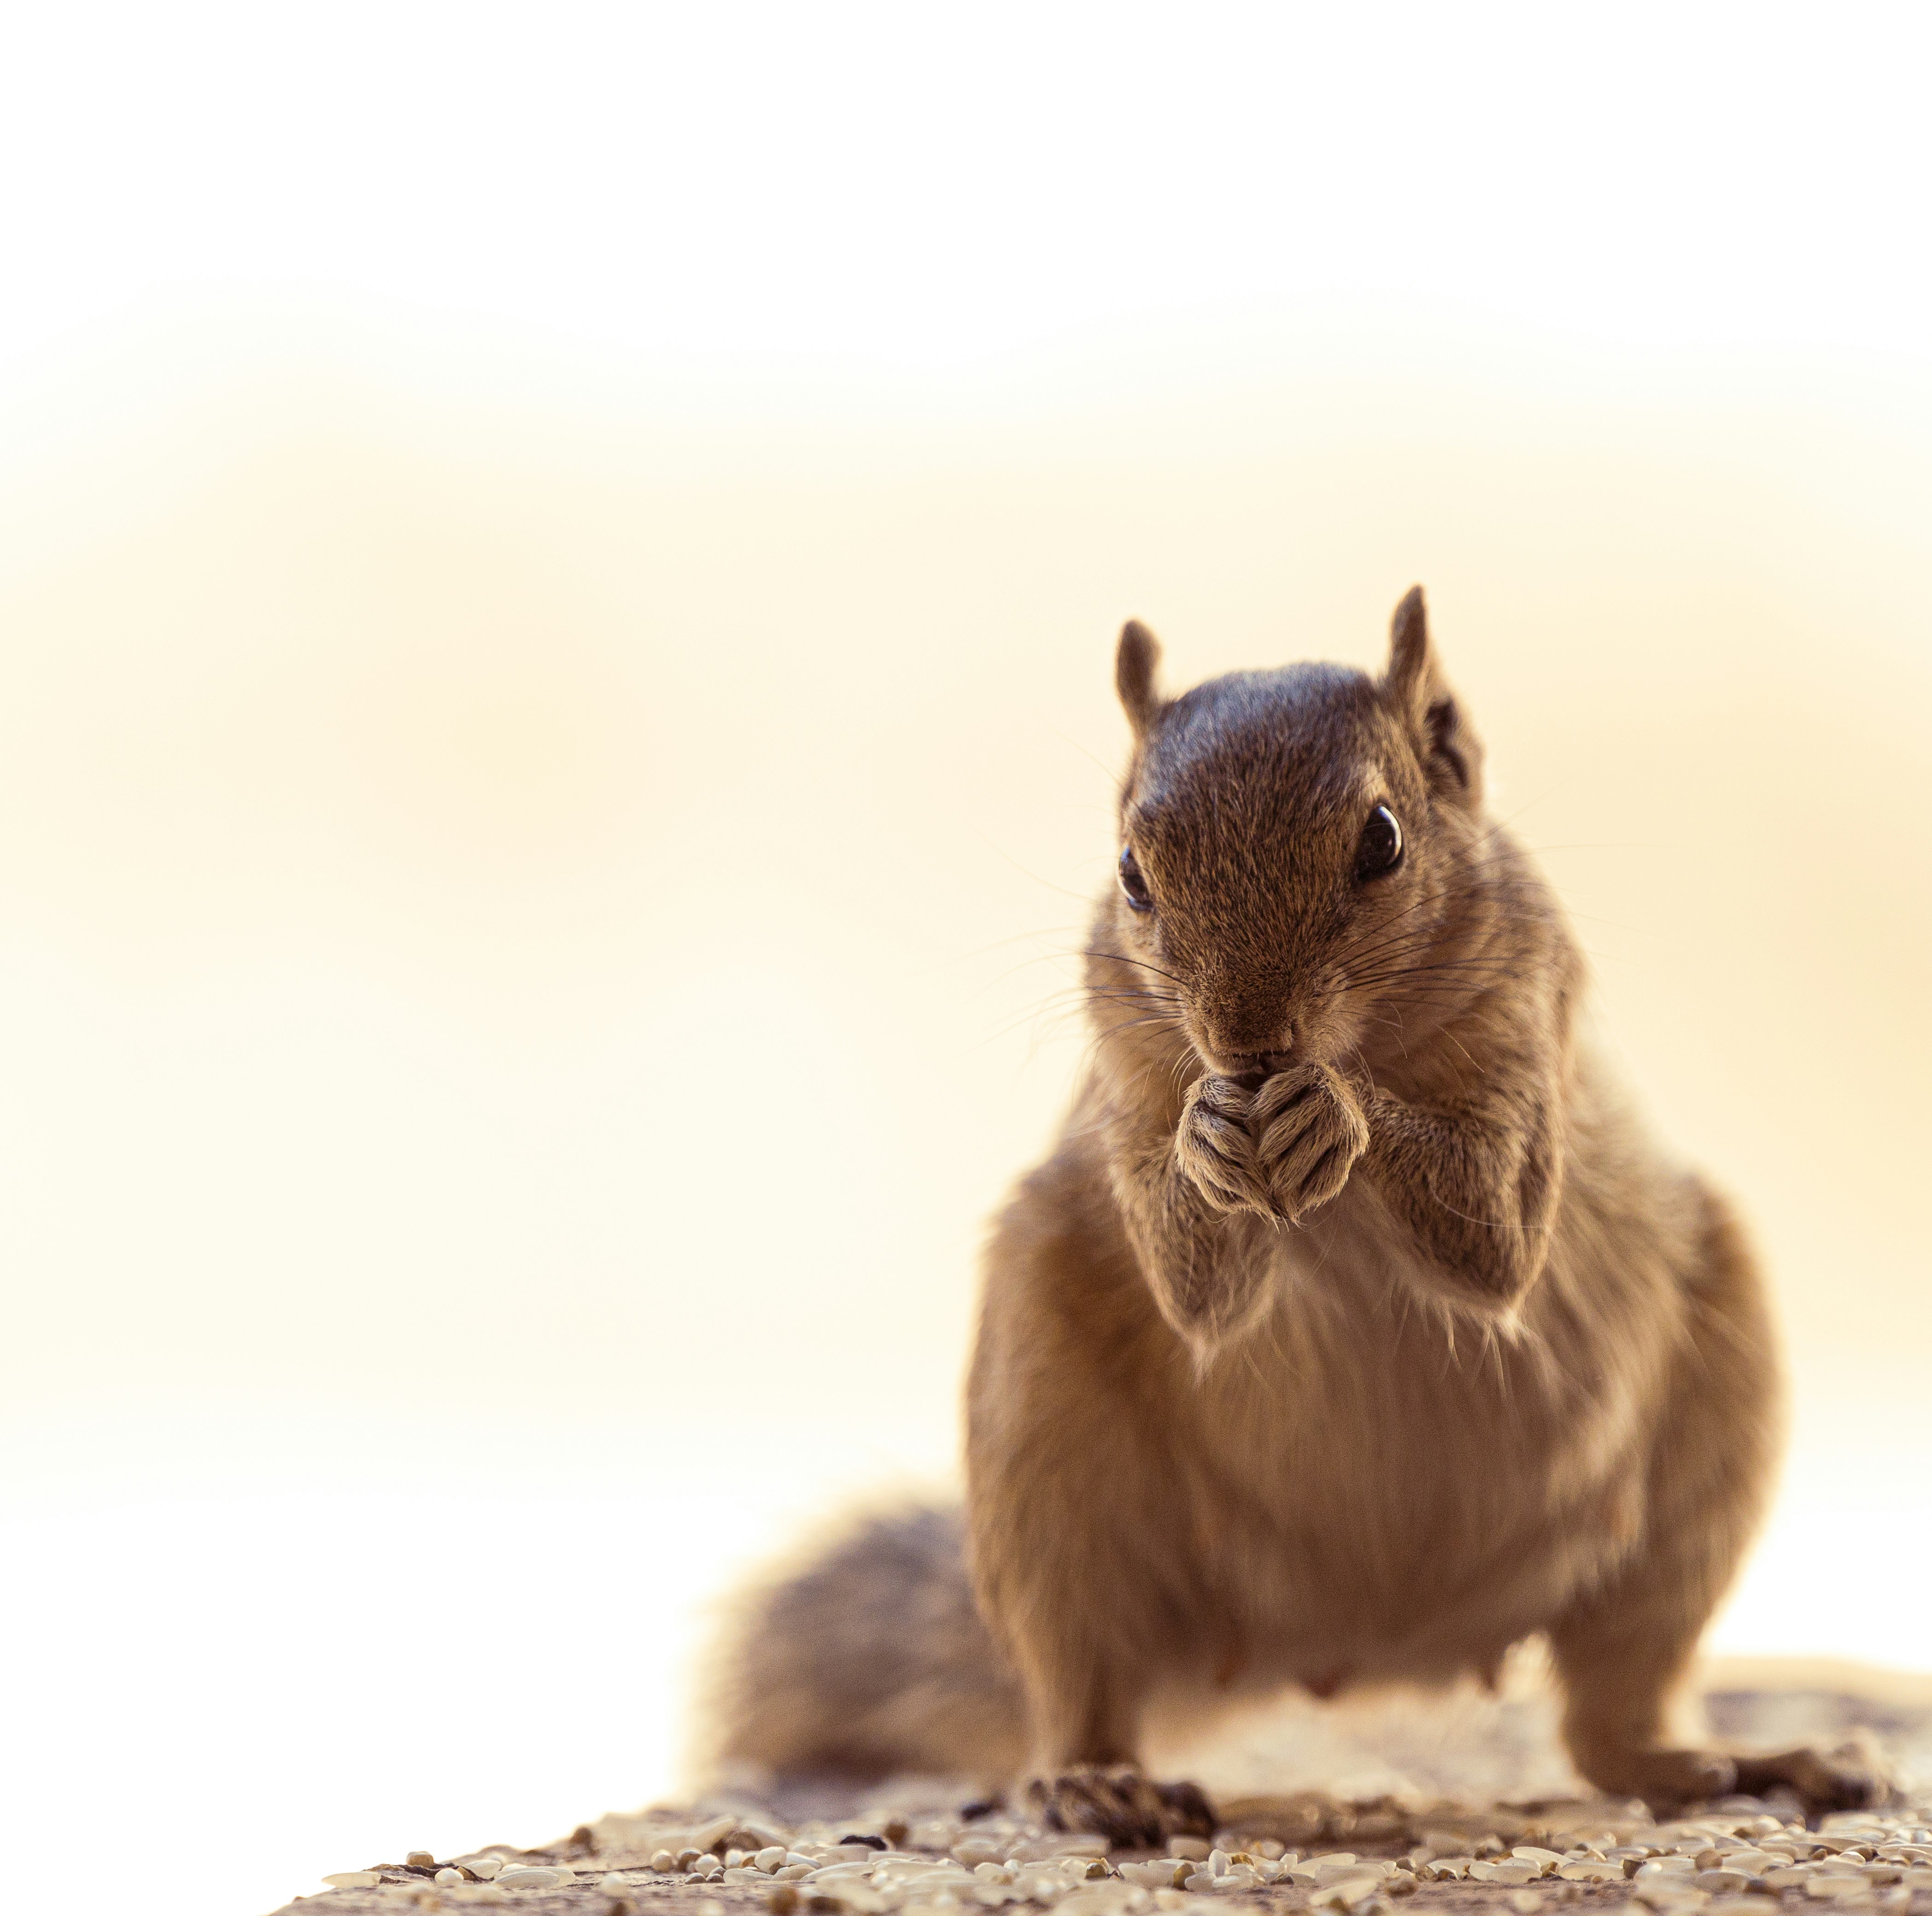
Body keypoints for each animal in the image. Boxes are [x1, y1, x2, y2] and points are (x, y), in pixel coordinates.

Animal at [707, 587, 1870, 1839]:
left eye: (1384, 839)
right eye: (1131, 870)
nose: (1250, 1044)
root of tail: (1355, 1638)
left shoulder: (1531, 1002)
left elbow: (1496, 1235)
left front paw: (1338, 1113)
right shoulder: (1124, 1059)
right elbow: (1194, 1291)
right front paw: (1207, 1137)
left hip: (1702, 1443)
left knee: (1615, 1718)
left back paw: (1747, 1761)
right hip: (1041, 1456)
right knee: (1080, 1669)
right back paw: (1096, 1776)